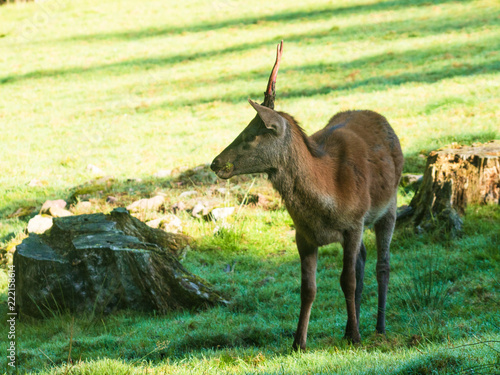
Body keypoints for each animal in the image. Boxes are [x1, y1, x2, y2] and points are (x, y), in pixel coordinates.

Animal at [209, 42, 404, 352]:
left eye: (250, 135)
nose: (216, 163)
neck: (328, 198)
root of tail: (378, 115)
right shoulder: (303, 234)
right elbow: (308, 289)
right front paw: (298, 341)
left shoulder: (354, 223)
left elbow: (347, 280)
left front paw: (356, 336)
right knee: (362, 261)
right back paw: (349, 327)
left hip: (389, 205)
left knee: (381, 265)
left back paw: (378, 328)